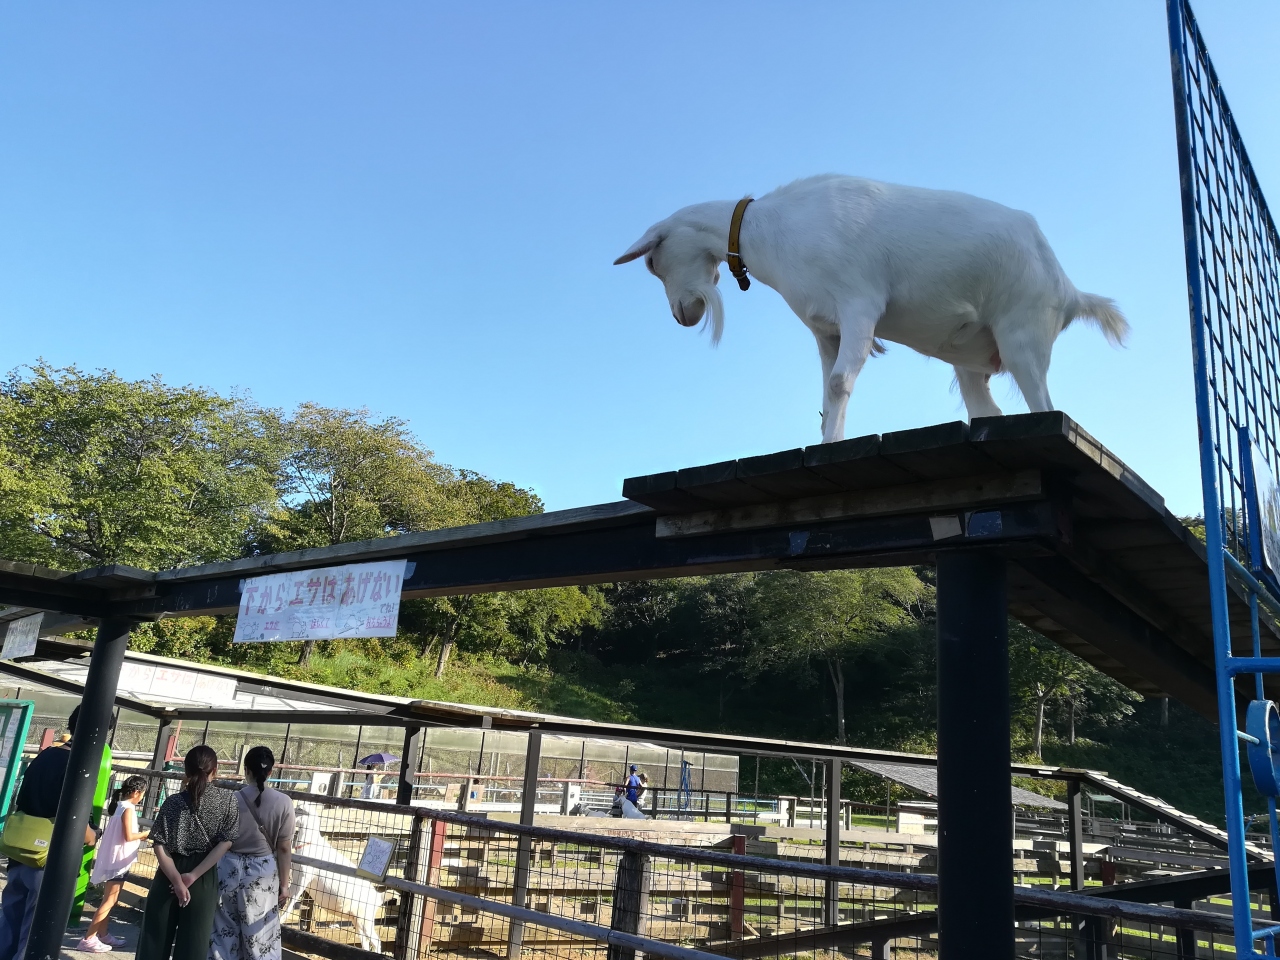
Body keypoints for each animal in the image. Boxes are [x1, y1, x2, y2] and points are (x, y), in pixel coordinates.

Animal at [289, 803, 384, 957]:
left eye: (299, 810)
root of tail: (378, 898)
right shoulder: (296, 876)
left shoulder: (303, 877)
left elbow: (291, 902)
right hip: (357, 920)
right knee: (365, 942)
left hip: (366, 919)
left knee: (376, 941)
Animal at [614, 175, 1126, 442]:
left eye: (653, 262)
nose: (683, 314)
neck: (773, 229)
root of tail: (1069, 288)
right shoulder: (825, 329)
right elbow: (826, 394)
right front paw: (828, 440)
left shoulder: (859, 304)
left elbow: (841, 382)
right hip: (971, 361)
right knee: (987, 409)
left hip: (1023, 332)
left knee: (1044, 402)